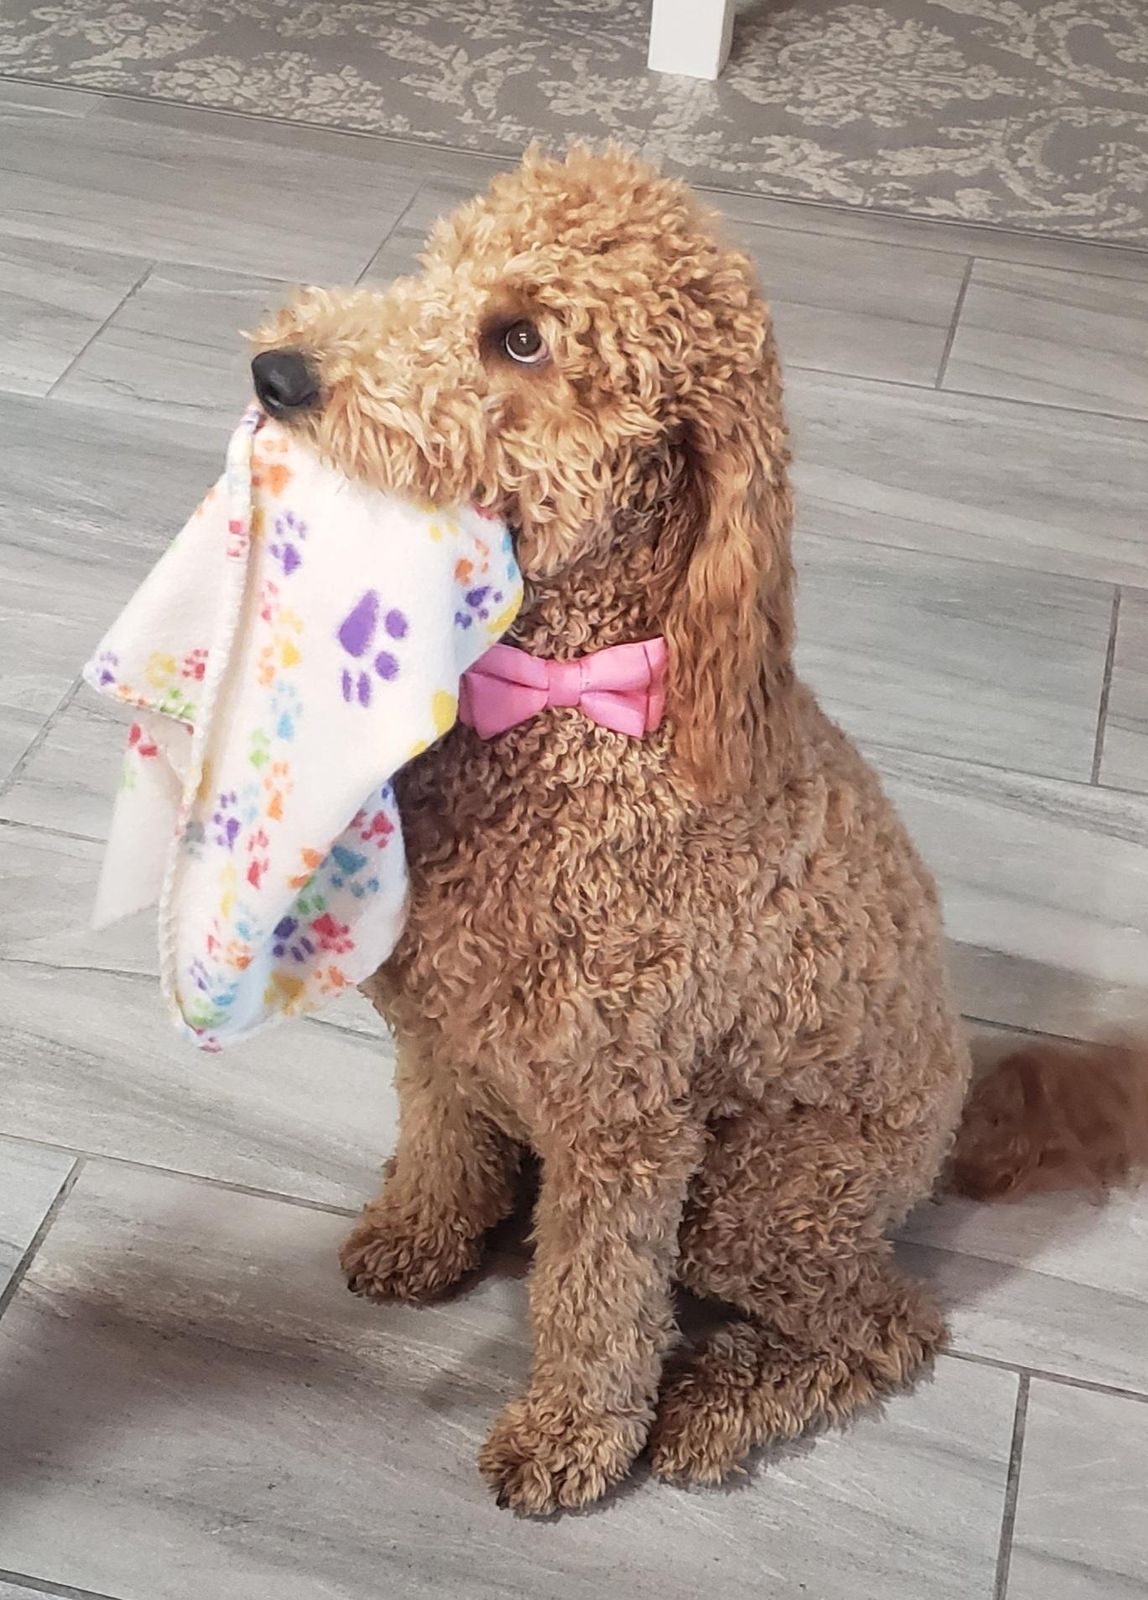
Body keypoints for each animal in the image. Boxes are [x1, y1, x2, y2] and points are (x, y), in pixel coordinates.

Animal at [253, 144, 1148, 1514]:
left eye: (519, 338)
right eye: (435, 267)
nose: (276, 372)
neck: (561, 707)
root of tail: (953, 1120)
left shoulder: (625, 1121)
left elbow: (595, 1295)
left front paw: (571, 1437)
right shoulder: (446, 1031)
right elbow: (442, 1141)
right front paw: (420, 1236)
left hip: (754, 1201)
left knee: (883, 1325)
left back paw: (712, 1408)